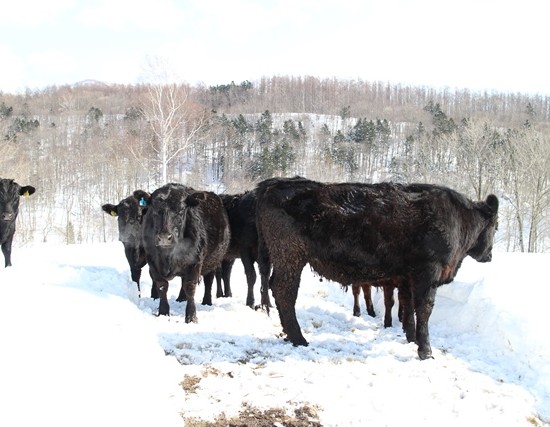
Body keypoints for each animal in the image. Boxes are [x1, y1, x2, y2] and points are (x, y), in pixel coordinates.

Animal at [138, 184, 233, 320]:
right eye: (154, 211)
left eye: (181, 211)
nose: (164, 238)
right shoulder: (153, 263)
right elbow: (162, 286)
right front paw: (163, 312)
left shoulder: (195, 263)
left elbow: (190, 287)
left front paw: (191, 316)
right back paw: (181, 299)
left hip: (212, 261)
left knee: (208, 281)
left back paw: (207, 301)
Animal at [258, 177, 500, 362]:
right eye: (496, 227)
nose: (489, 256)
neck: (458, 219)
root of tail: (274, 183)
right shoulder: (428, 272)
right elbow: (423, 309)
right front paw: (426, 351)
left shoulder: (406, 277)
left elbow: (407, 306)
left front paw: (411, 338)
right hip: (290, 256)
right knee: (284, 292)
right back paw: (298, 338)